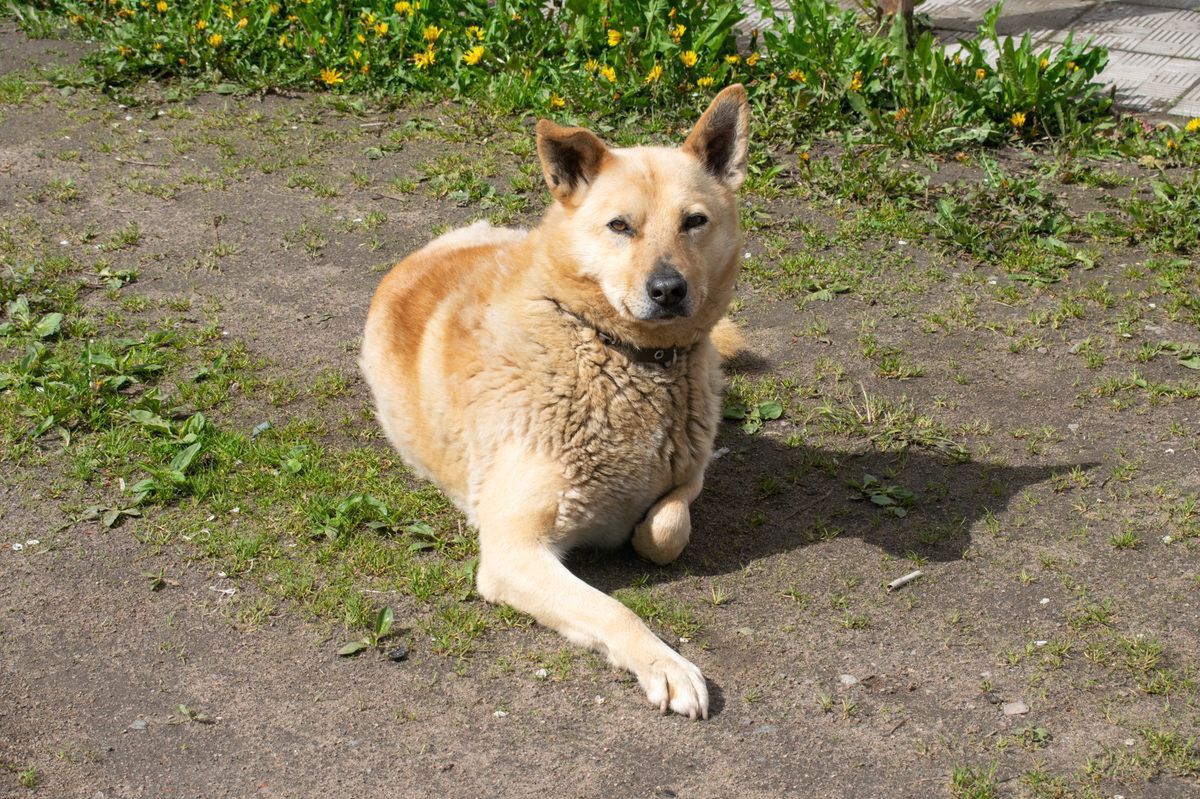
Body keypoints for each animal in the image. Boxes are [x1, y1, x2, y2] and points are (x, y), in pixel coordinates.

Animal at [357, 83, 748, 719]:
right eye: (620, 226)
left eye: (694, 222)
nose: (669, 290)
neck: (618, 354)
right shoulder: (513, 552)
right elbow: (615, 609)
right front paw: (665, 665)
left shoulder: (688, 475)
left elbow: (667, 529)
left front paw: (640, 532)